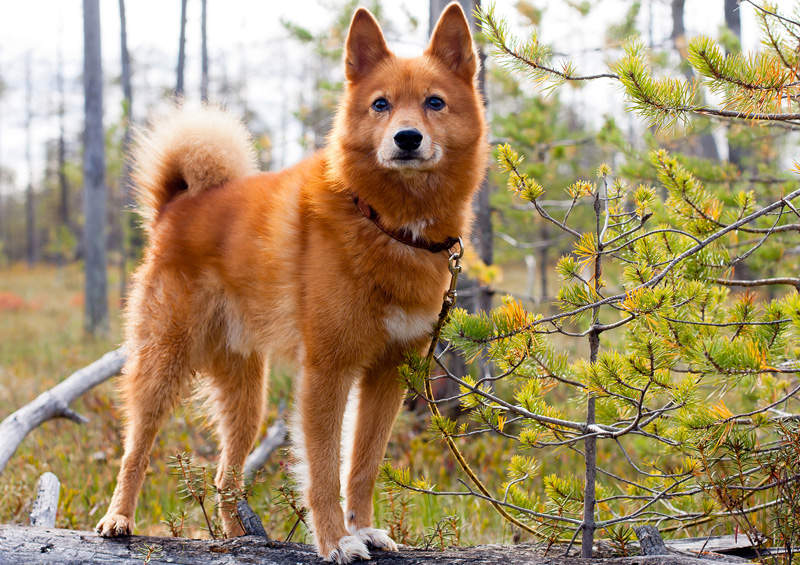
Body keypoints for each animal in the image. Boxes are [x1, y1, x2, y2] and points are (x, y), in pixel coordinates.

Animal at [98, 3, 488, 560]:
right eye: (381, 105)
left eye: (435, 102)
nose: (407, 138)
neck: (386, 222)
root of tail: (178, 206)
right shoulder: (326, 370)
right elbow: (323, 471)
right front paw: (336, 540)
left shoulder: (387, 374)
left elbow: (362, 466)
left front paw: (364, 527)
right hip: (161, 364)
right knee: (137, 449)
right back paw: (118, 517)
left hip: (247, 396)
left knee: (225, 476)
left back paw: (240, 536)